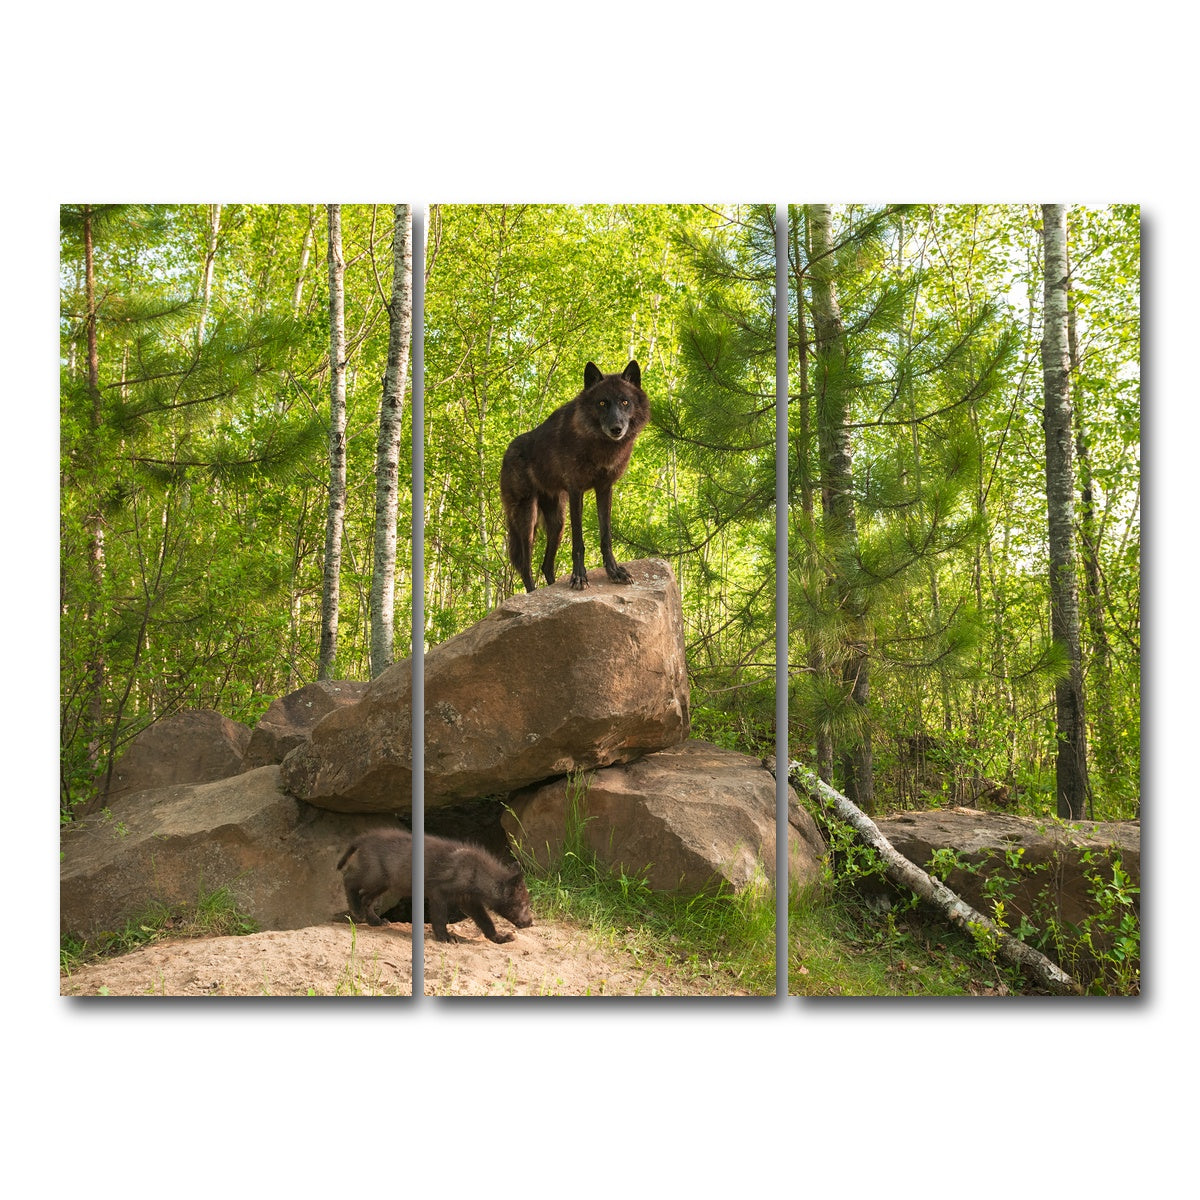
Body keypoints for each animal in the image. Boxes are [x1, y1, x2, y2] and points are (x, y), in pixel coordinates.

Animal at [337, 828, 534, 944]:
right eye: (524, 904)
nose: (531, 922)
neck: (475, 872)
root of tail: (364, 838)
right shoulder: (439, 893)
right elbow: (439, 918)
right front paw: (444, 937)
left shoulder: (469, 901)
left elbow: (486, 922)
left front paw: (499, 938)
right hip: (375, 876)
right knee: (349, 879)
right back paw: (357, 911)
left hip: (384, 883)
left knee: (366, 898)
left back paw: (375, 921)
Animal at [500, 359, 649, 592]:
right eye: (602, 403)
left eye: (625, 402)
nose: (616, 429)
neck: (600, 446)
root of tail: (507, 452)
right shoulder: (575, 491)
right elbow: (579, 541)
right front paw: (579, 577)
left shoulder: (604, 488)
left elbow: (606, 537)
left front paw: (614, 572)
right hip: (527, 519)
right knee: (525, 565)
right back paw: (532, 594)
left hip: (557, 522)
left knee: (546, 565)